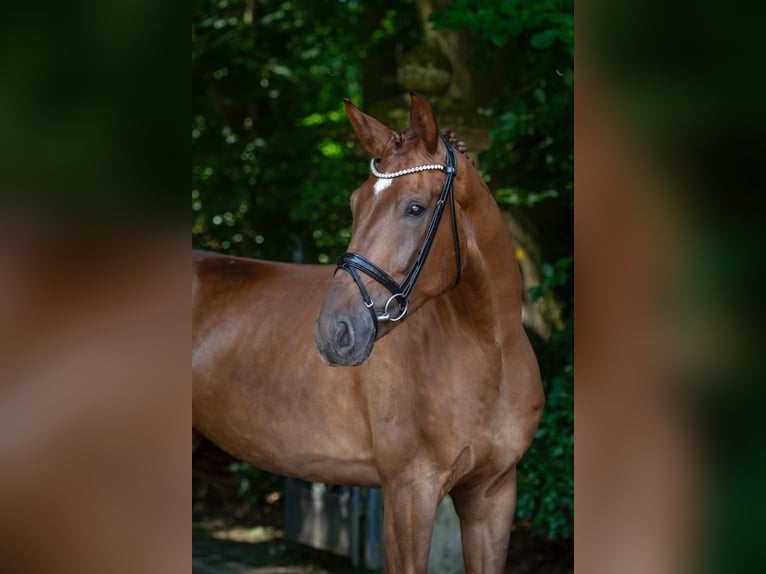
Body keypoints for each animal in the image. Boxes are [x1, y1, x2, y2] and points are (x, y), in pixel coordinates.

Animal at [192, 95, 544, 574]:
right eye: (355, 204)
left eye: (415, 207)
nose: (333, 331)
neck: (489, 350)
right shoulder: (409, 494)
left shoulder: (493, 495)